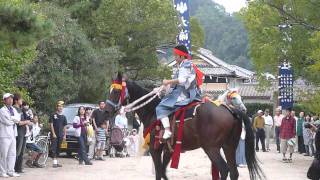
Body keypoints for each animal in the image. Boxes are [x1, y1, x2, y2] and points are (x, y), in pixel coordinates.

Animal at [106, 74, 264, 179]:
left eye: (116, 91)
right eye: (111, 91)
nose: (108, 110)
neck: (152, 111)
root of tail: (231, 110)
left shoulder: (155, 149)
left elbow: (159, 172)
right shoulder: (168, 149)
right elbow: (163, 171)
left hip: (211, 148)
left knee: (224, 170)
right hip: (229, 146)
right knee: (233, 172)